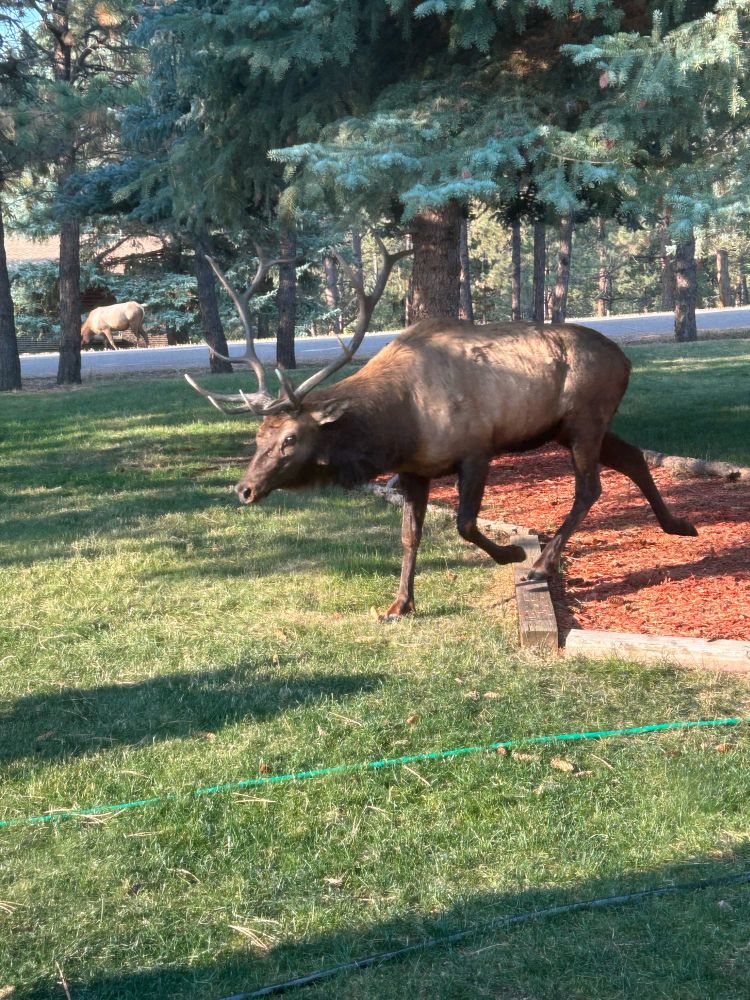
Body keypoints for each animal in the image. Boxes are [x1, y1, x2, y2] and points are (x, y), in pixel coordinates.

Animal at [186, 239, 697, 619]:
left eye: (290, 439)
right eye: (258, 438)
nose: (245, 489)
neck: (398, 427)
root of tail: (625, 359)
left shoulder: (476, 450)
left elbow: (465, 524)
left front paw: (512, 555)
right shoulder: (414, 470)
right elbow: (409, 536)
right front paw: (399, 605)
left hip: (585, 419)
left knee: (590, 487)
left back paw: (541, 566)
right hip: (572, 427)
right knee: (632, 457)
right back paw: (677, 524)